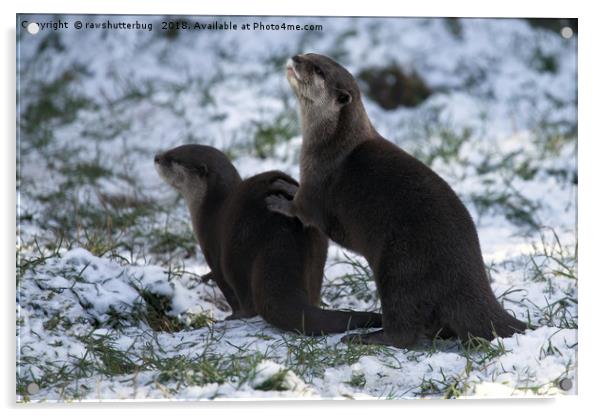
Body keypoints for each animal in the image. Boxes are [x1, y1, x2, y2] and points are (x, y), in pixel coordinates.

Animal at [154, 144, 380, 334]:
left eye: (173, 158)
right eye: (173, 148)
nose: (156, 157)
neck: (208, 208)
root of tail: (281, 230)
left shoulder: (211, 248)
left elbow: (225, 287)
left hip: (236, 250)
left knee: (245, 295)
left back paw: (236, 316)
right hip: (318, 245)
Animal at [264, 53, 524, 346]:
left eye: (318, 69)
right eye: (310, 54)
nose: (296, 58)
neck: (331, 145)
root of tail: (471, 282)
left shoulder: (318, 184)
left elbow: (302, 210)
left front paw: (279, 201)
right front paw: (284, 184)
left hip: (399, 268)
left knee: (403, 330)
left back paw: (364, 337)